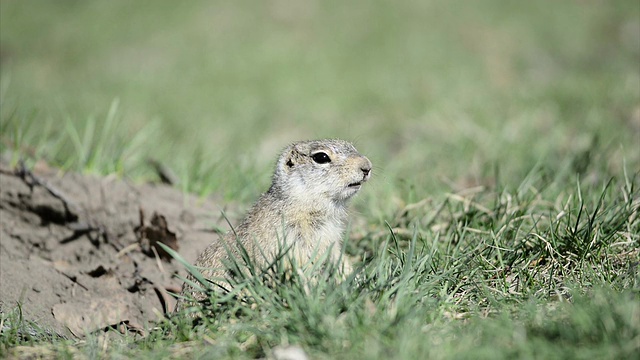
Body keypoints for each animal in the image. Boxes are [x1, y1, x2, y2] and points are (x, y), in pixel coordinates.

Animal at [175, 139, 372, 310]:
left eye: (352, 146)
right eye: (321, 157)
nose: (367, 166)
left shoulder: (331, 242)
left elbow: (339, 261)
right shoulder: (290, 243)